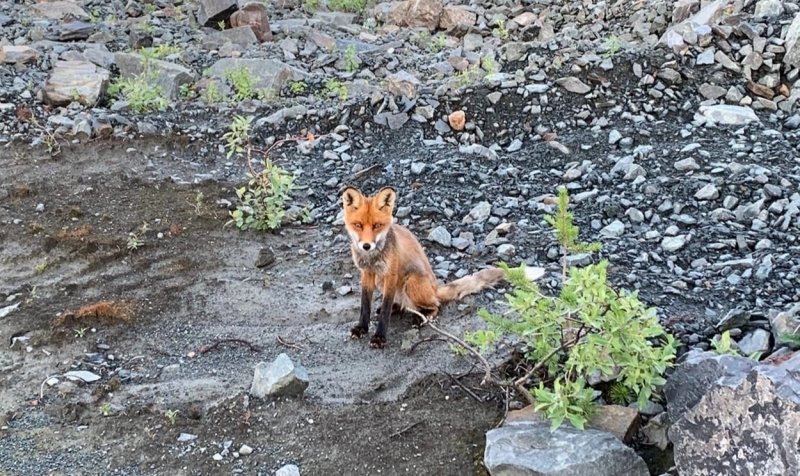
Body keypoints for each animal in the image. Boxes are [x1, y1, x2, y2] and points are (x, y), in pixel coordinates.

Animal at [341, 186, 506, 348]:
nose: (366, 246)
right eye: (358, 225)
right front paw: (362, 328)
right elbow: (365, 305)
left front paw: (379, 337)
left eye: (377, 226)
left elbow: (385, 310)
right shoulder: (366, 273)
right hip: (382, 282)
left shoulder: (391, 274)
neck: (372, 258)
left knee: (435, 305)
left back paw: (422, 317)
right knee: (402, 304)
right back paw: (397, 307)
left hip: (411, 282)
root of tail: (435, 288)